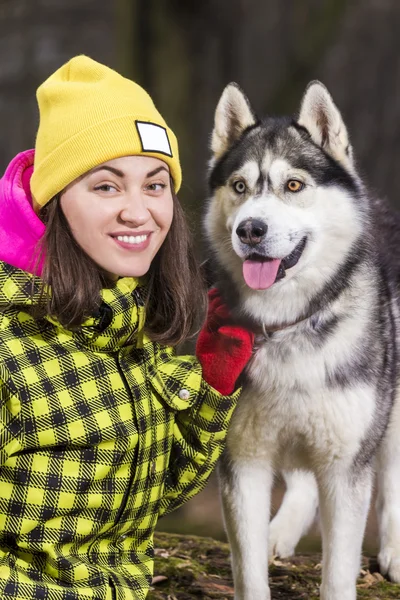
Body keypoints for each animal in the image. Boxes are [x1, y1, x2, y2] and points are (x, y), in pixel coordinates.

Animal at [205, 82, 400, 600]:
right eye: (239, 187)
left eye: (293, 186)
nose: (250, 229)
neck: (289, 324)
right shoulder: (243, 461)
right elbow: (248, 570)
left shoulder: (346, 464)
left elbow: (338, 570)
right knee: (302, 482)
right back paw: (281, 531)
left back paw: (394, 549)